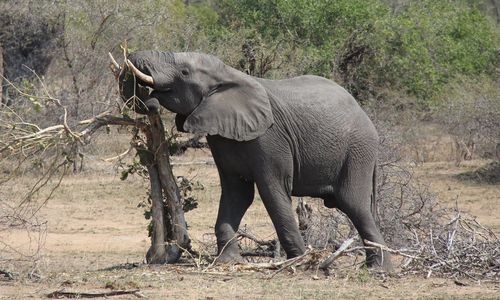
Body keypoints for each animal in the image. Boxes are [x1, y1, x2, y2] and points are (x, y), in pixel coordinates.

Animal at [118, 50, 394, 270]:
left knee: (354, 204)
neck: (229, 74)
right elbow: (236, 194)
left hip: (358, 150)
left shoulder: (270, 138)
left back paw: (379, 271)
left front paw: (300, 262)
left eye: (184, 72)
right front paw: (228, 262)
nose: (149, 99)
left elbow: (273, 192)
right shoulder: (221, 139)